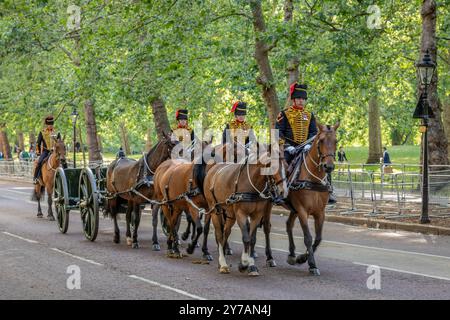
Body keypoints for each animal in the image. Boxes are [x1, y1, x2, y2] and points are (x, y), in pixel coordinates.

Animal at [204, 142, 288, 276]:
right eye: (272, 166)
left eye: (286, 165)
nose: (283, 191)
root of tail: (213, 169)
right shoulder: (241, 214)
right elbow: (246, 238)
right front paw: (243, 263)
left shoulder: (257, 215)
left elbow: (252, 239)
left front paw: (251, 265)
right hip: (215, 210)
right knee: (219, 234)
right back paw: (223, 263)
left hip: (230, 214)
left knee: (225, 233)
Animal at [284, 121, 338, 276]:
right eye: (321, 141)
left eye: (336, 141)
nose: (328, 166)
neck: (313, 179)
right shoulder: (302, 211)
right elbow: (308, 237)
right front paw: (312, 264)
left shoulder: (320, 212)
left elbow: (318, 238)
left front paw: (302, 258)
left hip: (293, 208)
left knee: (288, 225)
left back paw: (291, 255)